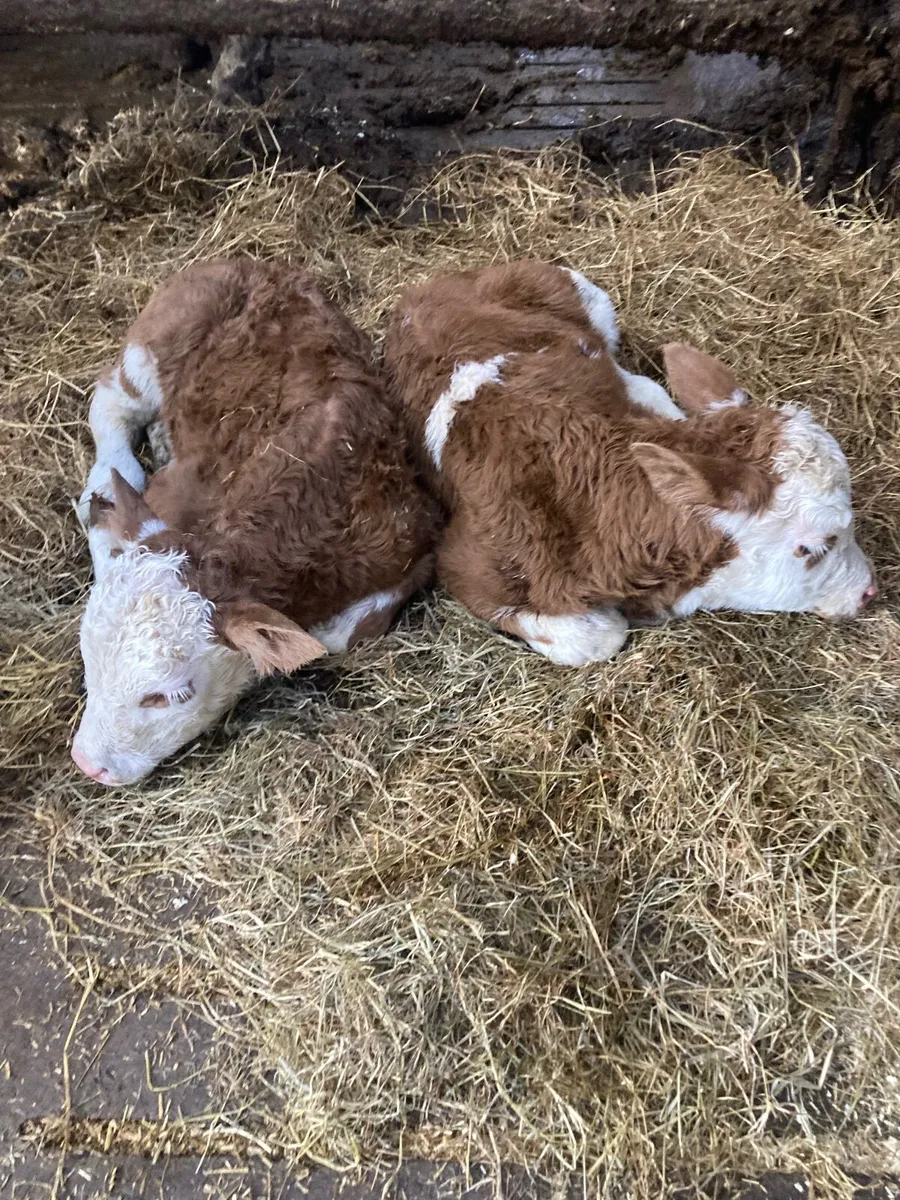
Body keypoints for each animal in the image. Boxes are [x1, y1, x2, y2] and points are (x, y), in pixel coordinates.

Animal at [71, 257, 436, 785]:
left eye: (170, 695)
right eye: (87, 657)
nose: (86, 761)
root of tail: (252, 263)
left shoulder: (415, 545)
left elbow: (338, 637)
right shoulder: (171, 497)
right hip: (147, 351)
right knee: (110, 403)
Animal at [383, 259, 877, 667]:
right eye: (811, 547)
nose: (869, 591)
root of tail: (427, 285)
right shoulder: (463, 562)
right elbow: (597, 638)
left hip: (590, 296)